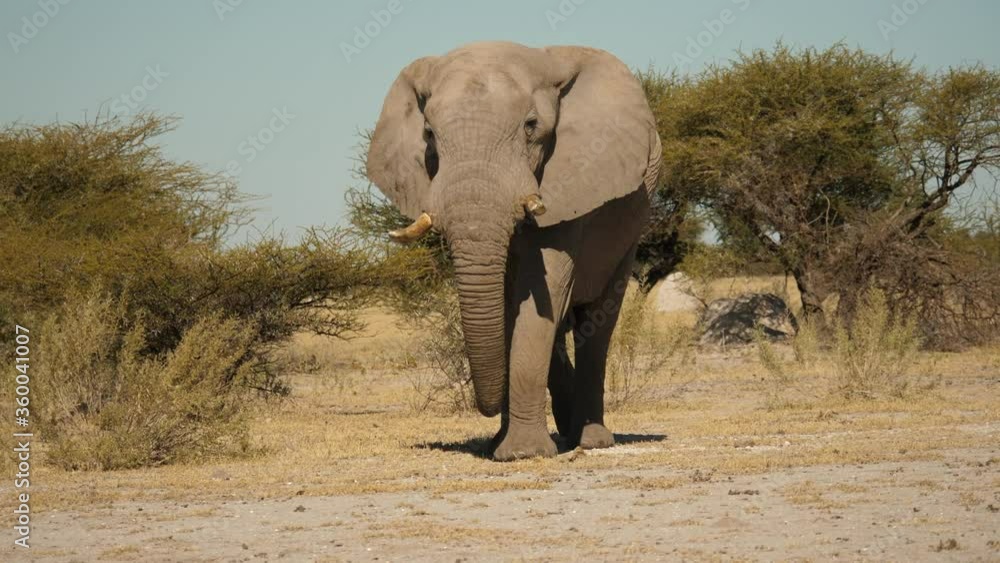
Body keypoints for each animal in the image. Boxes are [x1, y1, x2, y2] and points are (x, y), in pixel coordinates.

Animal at [366, 41, 661, 460]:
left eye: (530, 126)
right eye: (428, 134)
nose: (486, 409)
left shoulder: (572, 179)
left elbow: (542, 292)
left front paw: (523, 453)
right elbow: (512, 305)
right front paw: (504, 446)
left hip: (634, 222)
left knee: (597, 322)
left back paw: (590, 439)